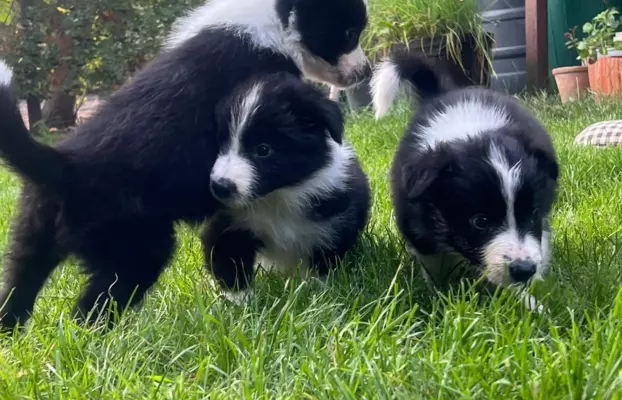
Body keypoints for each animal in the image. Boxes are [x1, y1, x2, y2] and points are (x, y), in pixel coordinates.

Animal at [204, 72, 370, 304]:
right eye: (220, 144)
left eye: (263, 150)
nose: (220, 186)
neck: (279, 196)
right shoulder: (230, 224)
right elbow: (228, 257)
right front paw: (240, 301)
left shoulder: (334, 223)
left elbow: (324, 261)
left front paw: (318, 294)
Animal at [370, 53, 560, 310]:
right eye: (480, 221)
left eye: (532, 214)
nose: (524, 270)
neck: (470, 130)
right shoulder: (415, 223)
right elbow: (434, 264)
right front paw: (440, 297)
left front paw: (531, 302)